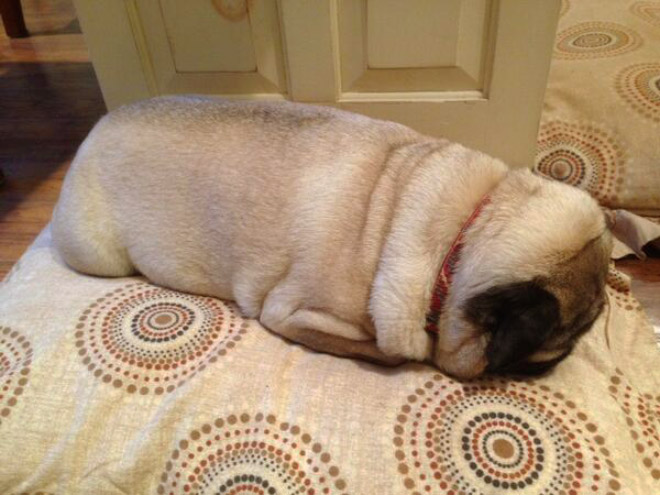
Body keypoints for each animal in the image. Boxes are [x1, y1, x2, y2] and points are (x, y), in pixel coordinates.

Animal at [52, 97, 612, 380]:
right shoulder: (290, 313)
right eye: (569, 335)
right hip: (97, 255)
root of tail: (99, 124)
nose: (570, 353)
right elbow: (393, 353)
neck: (463, 231)